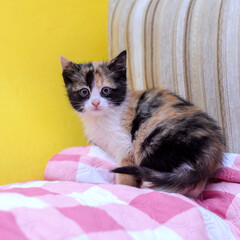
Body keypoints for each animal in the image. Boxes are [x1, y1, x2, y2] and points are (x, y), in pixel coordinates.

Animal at [60, 50, 225, 197]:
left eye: (105, 90)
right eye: (84, 92)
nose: (95, 103)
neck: (101, 118)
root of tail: (213, 151)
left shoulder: (126, 145)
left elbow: (125, 169)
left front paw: (124, 188)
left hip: (155, 141)